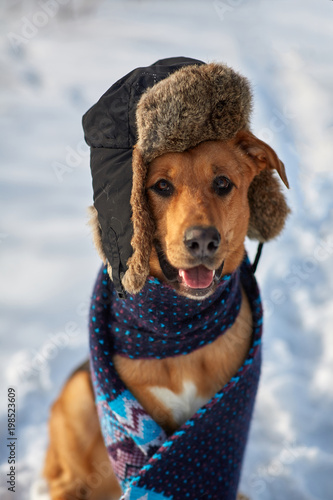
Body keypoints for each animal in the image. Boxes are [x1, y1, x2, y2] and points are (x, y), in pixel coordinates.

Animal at [43, 59, 288, 500]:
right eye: (160, 185)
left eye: (223, 183)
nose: (202, 240)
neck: (178, 328)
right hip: (78, 399)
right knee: (68, 479)